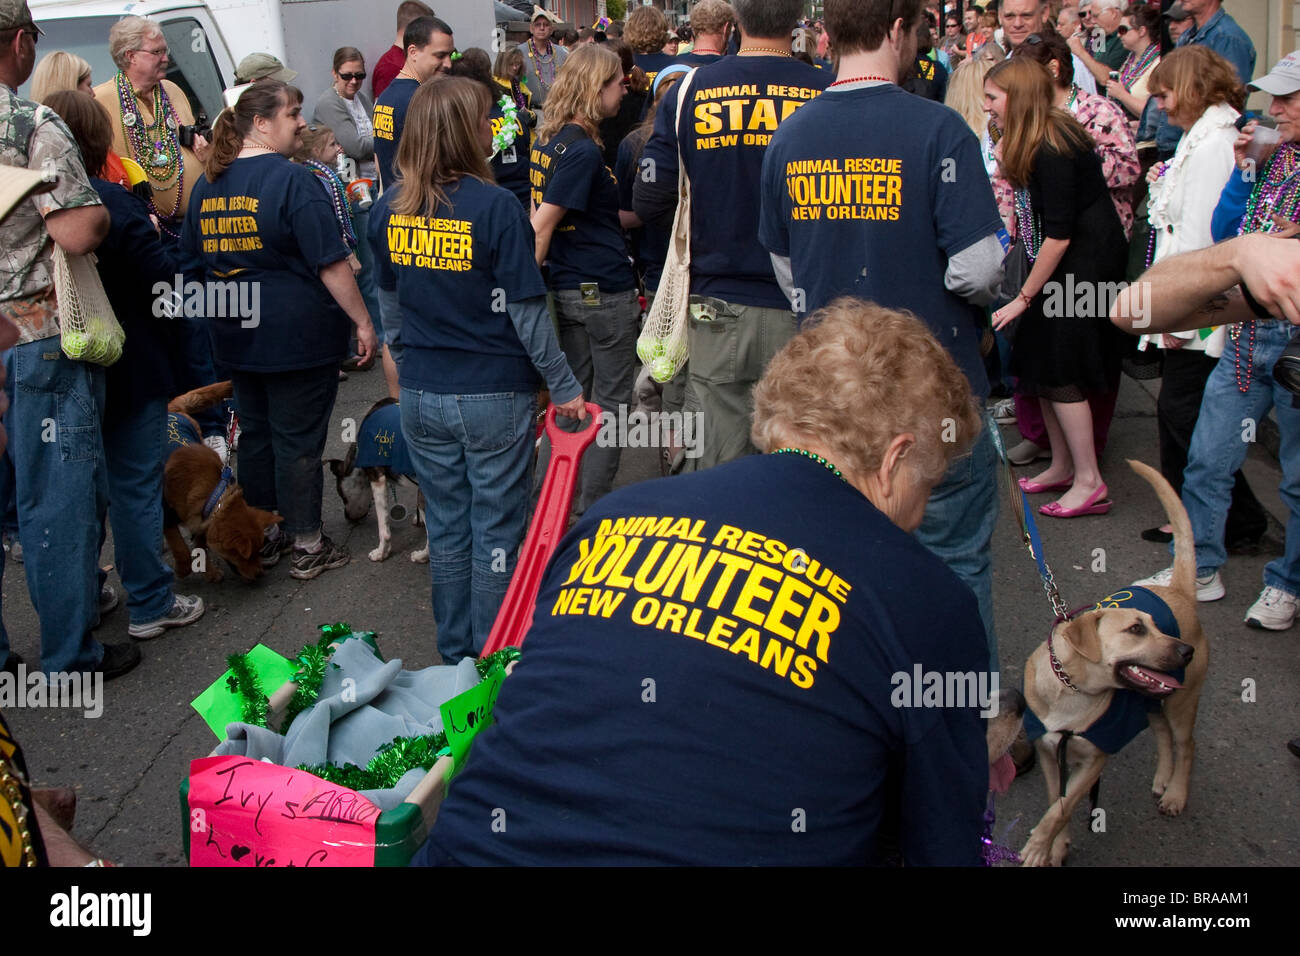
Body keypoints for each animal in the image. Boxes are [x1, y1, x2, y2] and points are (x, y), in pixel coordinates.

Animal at [162, 382, 279, 582]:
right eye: (243, 556)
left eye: (259, 550)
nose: (259, 574)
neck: (213, 495)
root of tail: (172, 408)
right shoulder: (167, 516)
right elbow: (180, 548)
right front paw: (183, 569)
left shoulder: (202, 519)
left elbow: (200, 547)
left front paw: (209, 572)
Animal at [325, 395, 426, 561]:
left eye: (342, 496)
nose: (347, 517)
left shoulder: (377, 480)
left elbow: (383, 528)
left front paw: (382, 553)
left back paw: (422, 556)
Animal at [1013, 460, 1206, 868]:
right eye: (1136, 629)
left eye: (1154, 626)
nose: (1186, 652)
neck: (1072, 689)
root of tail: (1179, 592)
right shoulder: (1050, 753)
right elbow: (1056, 802)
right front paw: (1057, 846)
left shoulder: (1095, 760)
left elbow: (1060, 809)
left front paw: (1039, 847)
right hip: (1150, 701)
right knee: (1162, 734)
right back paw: (1163, 778)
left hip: (1181, 702)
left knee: (1186, 744)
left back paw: (1176, 793)